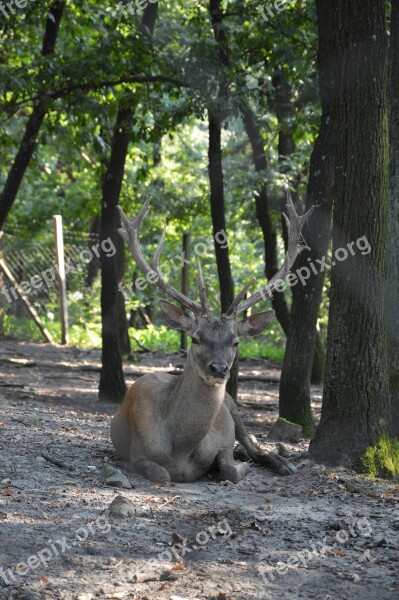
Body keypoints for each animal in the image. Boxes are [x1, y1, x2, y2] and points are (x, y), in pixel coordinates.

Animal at [111, 195, 314, 486]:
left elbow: (230, 467)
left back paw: (283, 464)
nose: (219, 369)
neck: (181, 449)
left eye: (235, 342)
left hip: (233, 406)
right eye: (195, 338)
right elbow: (162, 474)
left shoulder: (223, 440)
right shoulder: (137, 452)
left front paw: (239, 467)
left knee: (254, 445)